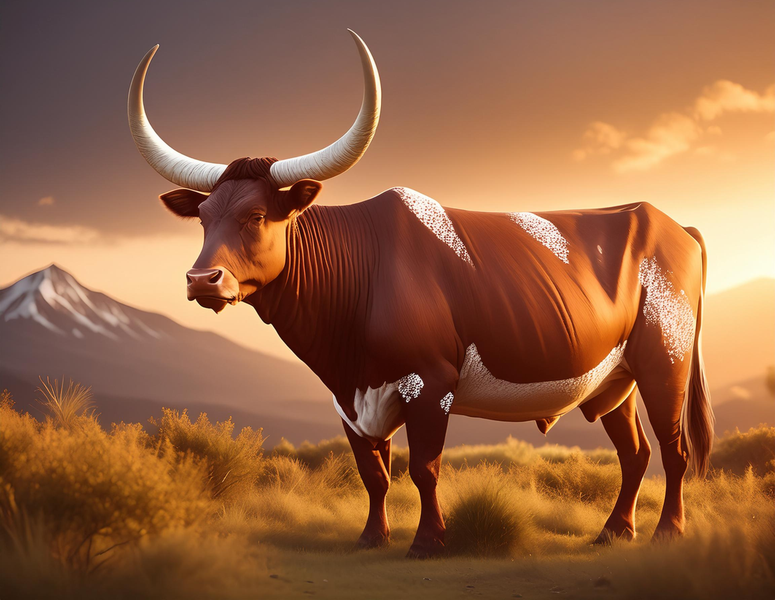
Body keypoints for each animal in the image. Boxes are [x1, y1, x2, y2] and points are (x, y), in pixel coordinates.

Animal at [128, 31, 714, 558]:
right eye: (203, 217)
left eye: (255, 215)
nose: (202, 280)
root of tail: (672, 224)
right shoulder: (349, 398)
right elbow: (373, 472)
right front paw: (372, 537)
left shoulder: (429, 384)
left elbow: (423, 468)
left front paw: (428, 541)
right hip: (615, 379)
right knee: (635, 453)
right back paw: (615, 531)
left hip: (665, 363)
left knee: (675, 450)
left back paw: (668, 532)